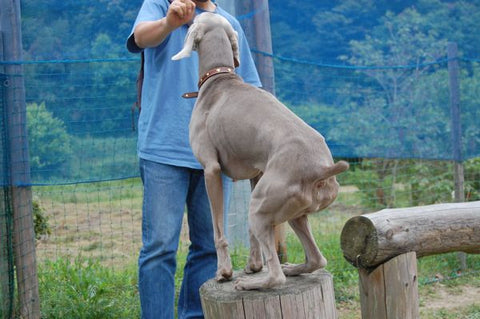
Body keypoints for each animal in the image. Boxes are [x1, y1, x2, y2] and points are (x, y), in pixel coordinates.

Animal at [172, 12, 348, 292]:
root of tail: (322, 169)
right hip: (292, 211)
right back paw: (292, 268)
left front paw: (224, 272)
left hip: (261, 205)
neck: (218, 78)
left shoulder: (211, 170)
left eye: (198, 17)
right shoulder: (256, 172)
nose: (187, 15)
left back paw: (250, 283)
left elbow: (218, 229)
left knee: (277, 276)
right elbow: (250, 234)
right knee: (316, 259)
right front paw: (253, 265)